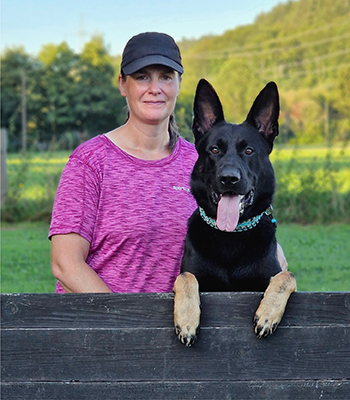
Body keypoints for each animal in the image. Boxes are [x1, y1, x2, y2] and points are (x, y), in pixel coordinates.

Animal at [174, 79, 296, 346]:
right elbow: (185, 277)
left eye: (249, 151)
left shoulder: (270, 277)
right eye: (214, 150)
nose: (229, 178)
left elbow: (287, 276)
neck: (230, 236)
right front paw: (187, 319)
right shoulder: (194, 276)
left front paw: (267, 314)